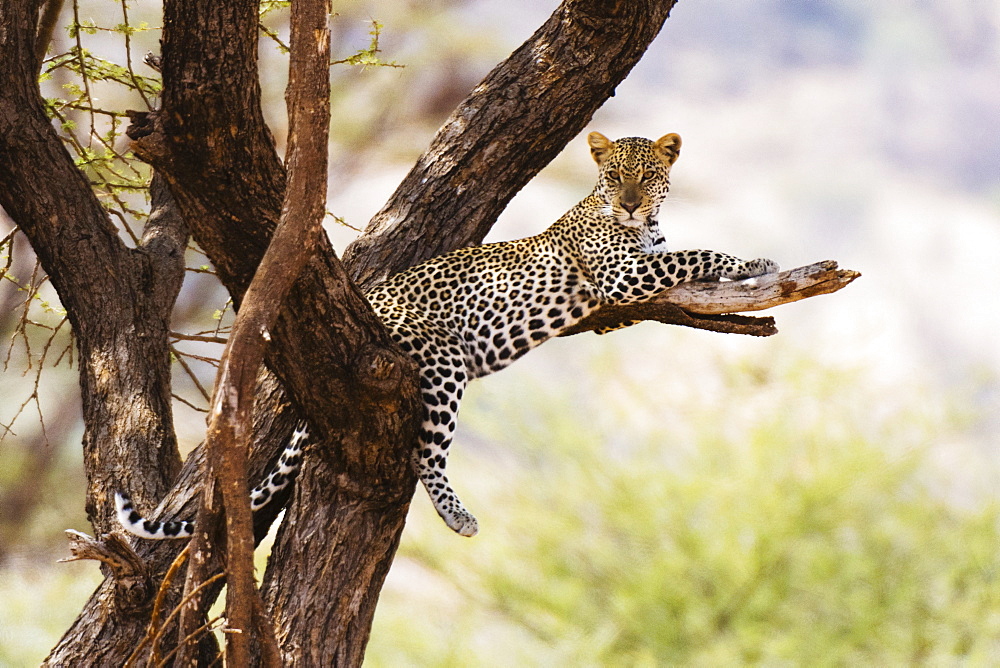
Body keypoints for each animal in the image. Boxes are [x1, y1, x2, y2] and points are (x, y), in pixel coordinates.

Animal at [117, 132, 780, 544]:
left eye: (646, 176)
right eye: (614, 177)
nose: (632, 205)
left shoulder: (634, 276)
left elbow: (680, 259)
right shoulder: (624, 273)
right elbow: (698, 254)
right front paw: (755, 260)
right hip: (438, 363)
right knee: (423, 453)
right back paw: (458, 516)